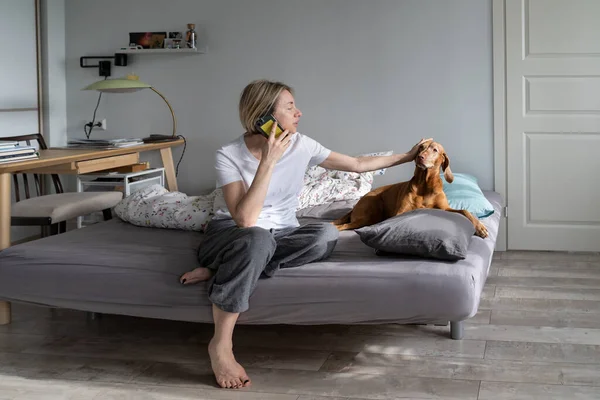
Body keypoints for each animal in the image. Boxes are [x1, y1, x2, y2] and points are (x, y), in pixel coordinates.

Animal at [330, 141, 490, 238]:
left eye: (435, 149)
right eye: (421, 147)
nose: (420, 157)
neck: (425, 184)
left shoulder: (445, 208)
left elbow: (465, 211)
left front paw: (480, 227)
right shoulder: (400, 213)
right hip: (369, 213)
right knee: (343, 226)